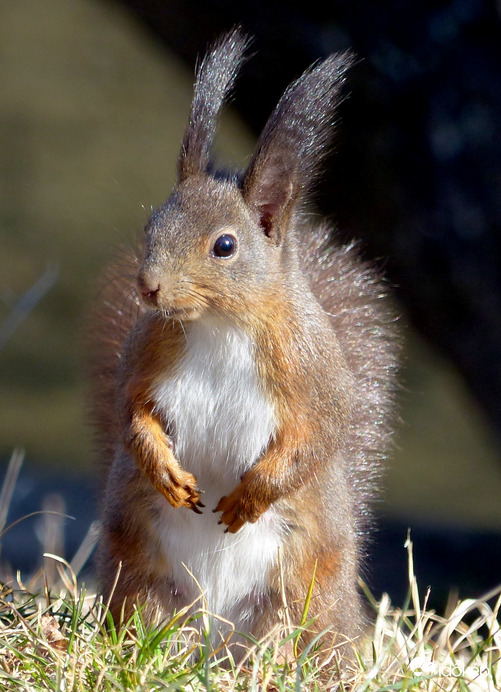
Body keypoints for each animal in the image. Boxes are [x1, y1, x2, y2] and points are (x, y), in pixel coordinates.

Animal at [89, 29, 398, 664]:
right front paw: (168, 473)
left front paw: (251, 497)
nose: (147, 287)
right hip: (145, 587)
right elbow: (131, 414)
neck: (218, 324)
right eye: (154, 223)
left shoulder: (313, 370)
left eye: (225, 246)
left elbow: (317, 436)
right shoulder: (145, 355)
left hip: (296, 602)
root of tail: (217, 643)